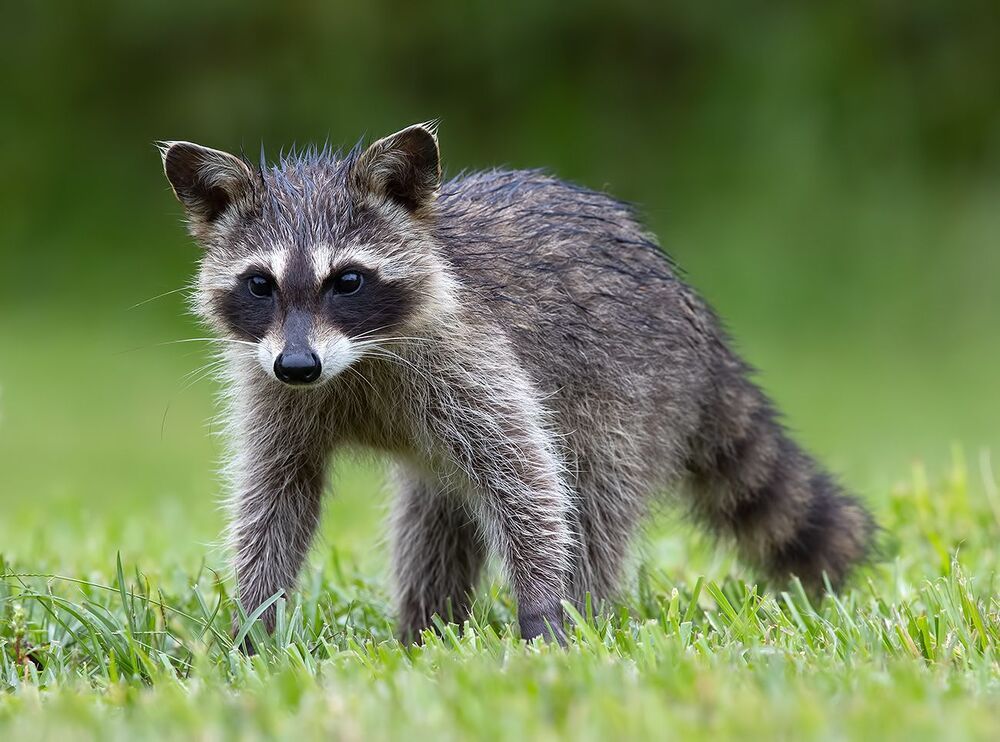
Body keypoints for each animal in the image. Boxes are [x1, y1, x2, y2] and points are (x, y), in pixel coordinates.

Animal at [159, 122, 875, 643]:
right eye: (260, 284)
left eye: (349, 281)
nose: (299, 367)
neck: (356, 359)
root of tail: (700, 326)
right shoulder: (271, 385)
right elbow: (275, 497)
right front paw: (257, 623)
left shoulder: (470, 356)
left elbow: (526, 478)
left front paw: (545, 608)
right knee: (433, 521)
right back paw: (426, 630)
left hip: (632, 396)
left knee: (593, 500)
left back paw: (575, 607)